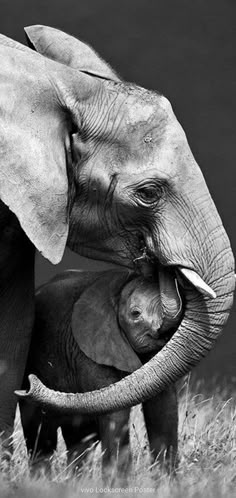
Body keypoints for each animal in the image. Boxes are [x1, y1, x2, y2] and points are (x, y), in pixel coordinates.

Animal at [20, 270, 183, 476]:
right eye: (135, 314)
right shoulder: (87, 352)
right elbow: (116, 413)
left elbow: (163, 407)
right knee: (41, 438)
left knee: (79, 441)